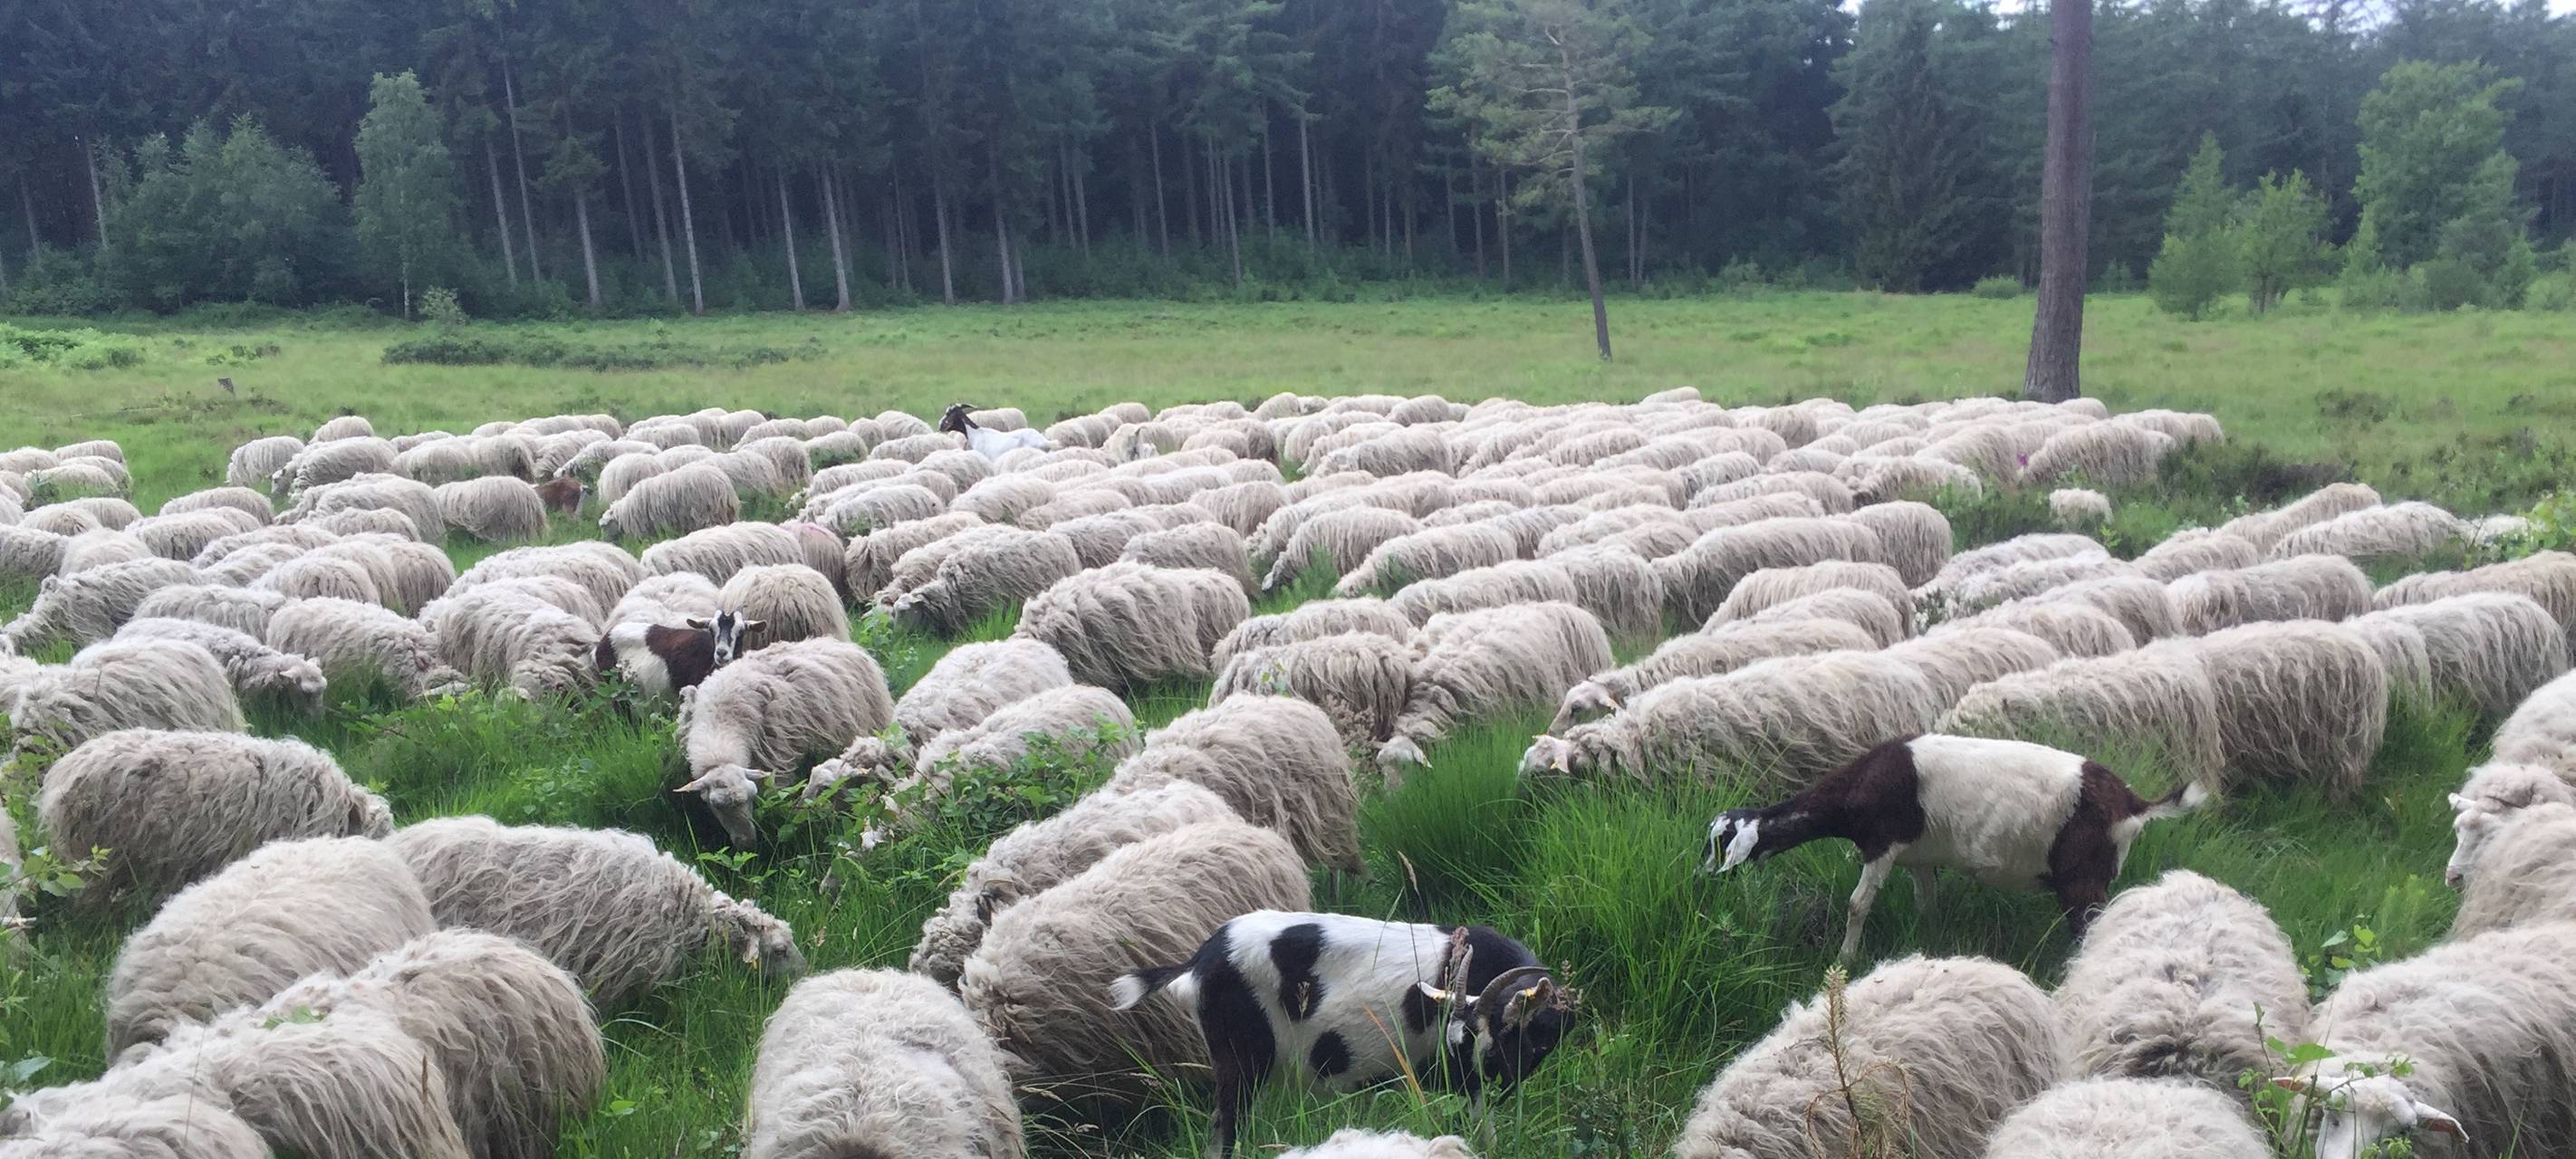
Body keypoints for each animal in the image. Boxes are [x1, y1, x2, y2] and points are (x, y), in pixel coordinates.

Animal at [676, 638, 895, 847]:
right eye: (715, 805)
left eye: (752, 796)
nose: (747, 844)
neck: (722, 718)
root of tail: (839, 643)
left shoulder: (776, 758)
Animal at [1111, 914, 1573, 1156]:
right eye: (1475, 1050)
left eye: (1493, 1047)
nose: (1489, 1076)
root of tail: (1198, 961)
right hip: (1241, 1058)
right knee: (1226, 1125)